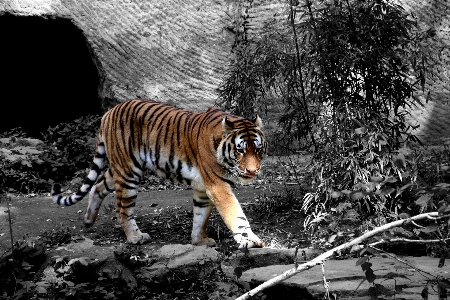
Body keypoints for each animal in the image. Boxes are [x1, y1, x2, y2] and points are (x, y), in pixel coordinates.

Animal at [51, 99, 268, 247]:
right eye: (240, 150)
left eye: (257, 149)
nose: (252, 170)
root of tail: (108, 113)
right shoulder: (218, 186)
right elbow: (236, 214)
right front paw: (250, 240)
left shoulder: (203, 187)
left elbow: (200, 216)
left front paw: (199, 240)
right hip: (128, 172)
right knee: (122, 208)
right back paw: (135, 237)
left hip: (118, 169)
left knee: (97, 186)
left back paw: (88, 220)